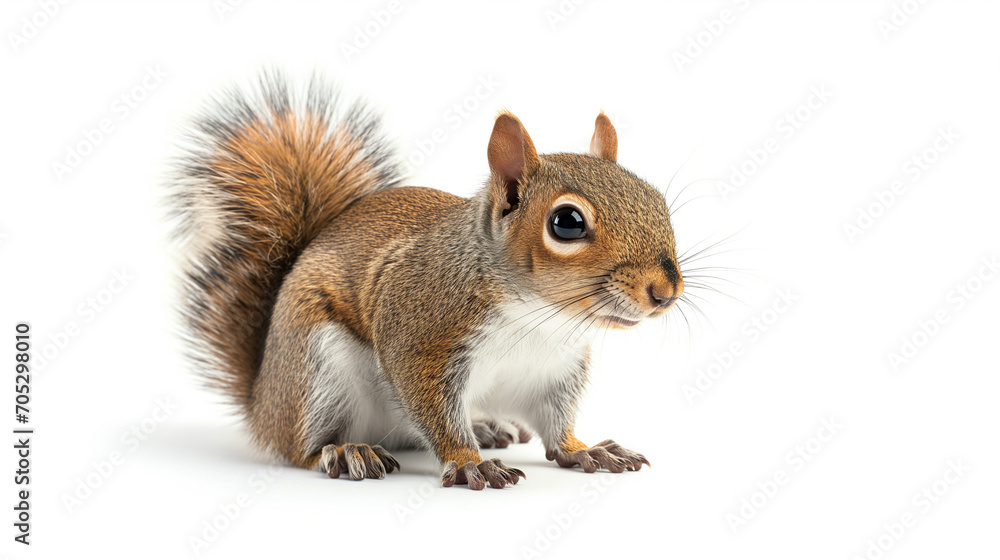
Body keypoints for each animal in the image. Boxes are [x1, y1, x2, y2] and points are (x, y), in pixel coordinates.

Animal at [169, 72, 684, 490]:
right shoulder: (420, 336)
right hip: (317, 372)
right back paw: (346, 451)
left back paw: (486, 427)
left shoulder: (552, 370)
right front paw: (467, 462)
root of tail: (262, 402)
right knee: (303, 447)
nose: (665, 292)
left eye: (656, 198)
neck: (538, 317)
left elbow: (556, 426)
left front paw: (584, 448)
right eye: (567, 223)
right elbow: (432, 406)